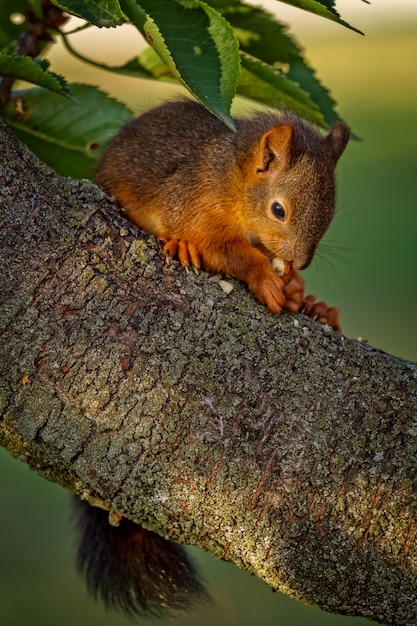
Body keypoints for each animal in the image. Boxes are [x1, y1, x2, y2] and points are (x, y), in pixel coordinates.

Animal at [74, 97, 348, 616]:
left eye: (332, 211)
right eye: (278, 209)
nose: (298, 262)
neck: (234, 179)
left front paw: (299, 290)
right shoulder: (193, 199)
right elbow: (222, 248)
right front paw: (265, 278)